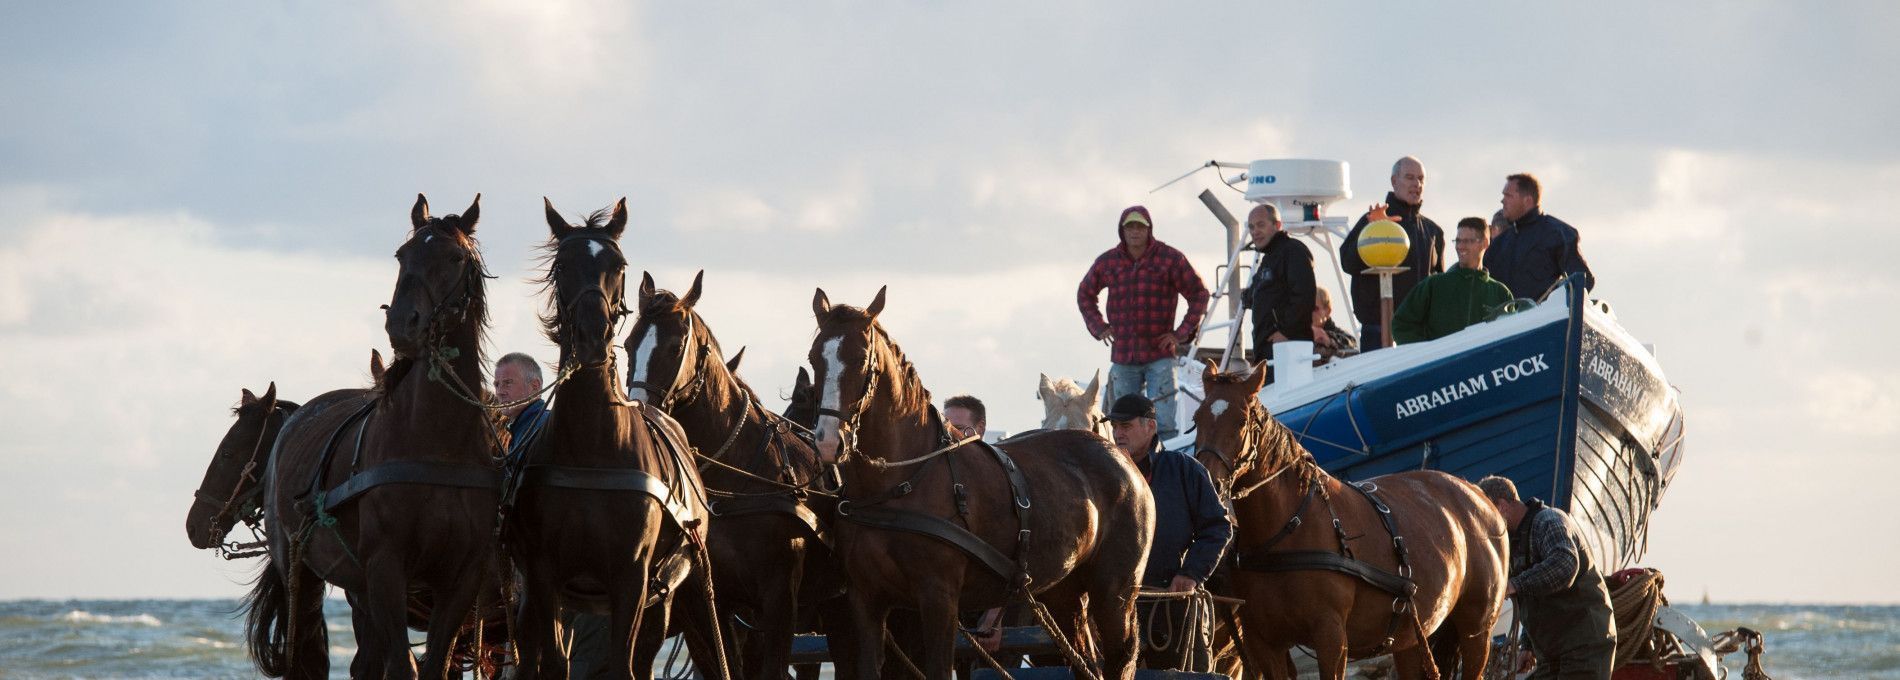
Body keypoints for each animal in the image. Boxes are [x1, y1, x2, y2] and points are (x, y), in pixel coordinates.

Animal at [248, 193, 509, 676]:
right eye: (402, 255)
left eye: (454, 257)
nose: (403, 325)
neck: (437, 444)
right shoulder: (385, 568)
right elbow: (402, 665)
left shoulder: (462, 578)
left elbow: (434, 662)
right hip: (302, 570)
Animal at [509, 199, 729, 680]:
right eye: (562, 264)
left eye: (618, 265)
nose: (592, 335)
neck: (592, 448)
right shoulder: (544, 577)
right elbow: (554, 662)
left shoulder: (633, 578)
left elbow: (623, 665)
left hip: (665, 595)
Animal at [805, 284, 1147, 680]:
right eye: (814, 359)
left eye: (861, 359)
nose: (828, 441)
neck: (896, 486)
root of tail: (1123, 460)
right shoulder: (865, 600)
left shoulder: (938, 598)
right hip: (1065, 590)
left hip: (1115, 593)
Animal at [1185, 358, 1512, 676]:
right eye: (1197, 419)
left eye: (1241, 420)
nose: (1208, 479)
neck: (1286, 529)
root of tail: (1476, 493)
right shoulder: (1263, 643)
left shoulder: (1330, 634)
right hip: (1410, 636)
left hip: (1477, 630)